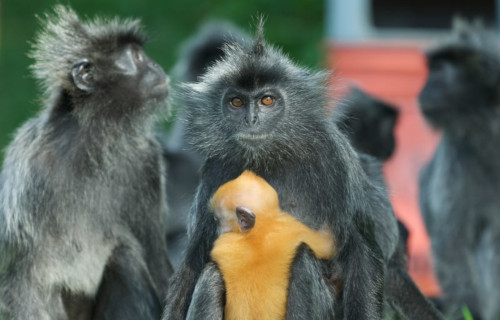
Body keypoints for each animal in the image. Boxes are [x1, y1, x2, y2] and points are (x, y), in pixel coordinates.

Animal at [0, 5, 172, 320]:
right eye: (137, 57)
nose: (157, 67)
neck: (95, 145)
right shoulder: (31, 169)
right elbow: (19, 281)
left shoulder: (147, 160)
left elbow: (157, 264)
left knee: (125, 257)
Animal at [163, 21, 442, 318]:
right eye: (236, 102)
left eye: (267, 101)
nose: (251, 120)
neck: (269, 156)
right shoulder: (216, 168)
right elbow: (194, 262)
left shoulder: (332, 156)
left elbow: (361, 249)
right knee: (210, 274)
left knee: (303, 261)